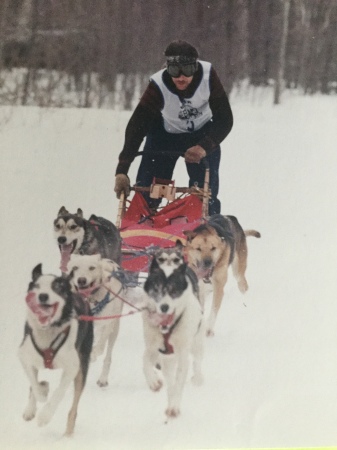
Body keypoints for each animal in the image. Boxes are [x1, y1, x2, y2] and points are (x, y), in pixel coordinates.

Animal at [17, 264, 92, 436]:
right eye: (37, 286)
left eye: (56, 287)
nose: (43, 296)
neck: (48, 330)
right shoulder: (25, 357)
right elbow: (35, 385)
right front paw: (42, 391)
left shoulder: (72, 367)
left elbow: (59, 392)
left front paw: (45, 415)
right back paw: (31, 408)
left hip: (83, 365)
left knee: (74, 408)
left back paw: (68, 435)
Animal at [66, 253, 124, 386]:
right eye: (75, 268)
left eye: (92, 268)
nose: (81, 280)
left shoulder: (108, 324)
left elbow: (100, 346)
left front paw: (93, 354)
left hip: (114, 329)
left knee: (107, 355)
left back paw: (103, 378)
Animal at [141, 253, 202, 422]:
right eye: (156, 289)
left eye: (174, 291)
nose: (164, 307)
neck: (168, 330)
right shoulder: (154, 348)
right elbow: (145, 363)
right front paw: (154, 382)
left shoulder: (182, 354)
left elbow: (179, 382)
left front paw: (174, 407)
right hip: (167, 358)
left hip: (196, 343)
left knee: (197, 360)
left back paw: (198, 378)